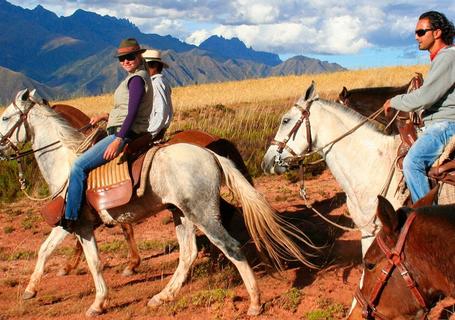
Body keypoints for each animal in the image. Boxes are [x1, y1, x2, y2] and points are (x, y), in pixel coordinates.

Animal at [0, 88, 318, 318]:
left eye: (4, 117)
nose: (1, 148)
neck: (66, 165)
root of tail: (210, 153)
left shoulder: (78, 224)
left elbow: (93, 262)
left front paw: (97, 302)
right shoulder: (76, 224)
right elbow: (45, 250)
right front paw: (31, 291)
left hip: (202, 214)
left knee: (231, 247)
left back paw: (254, 301)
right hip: (182, 214)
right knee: (188, 254)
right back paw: (163, 296)